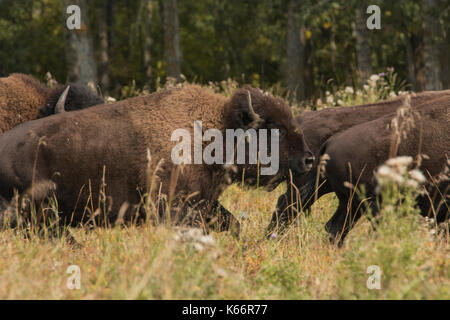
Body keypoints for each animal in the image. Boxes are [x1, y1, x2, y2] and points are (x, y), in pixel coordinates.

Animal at [0, 85, 312, 235]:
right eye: (274, 128)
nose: (309, 159)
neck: (217, 130)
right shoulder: (175, 208)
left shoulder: (204, 204)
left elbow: (232, 224)